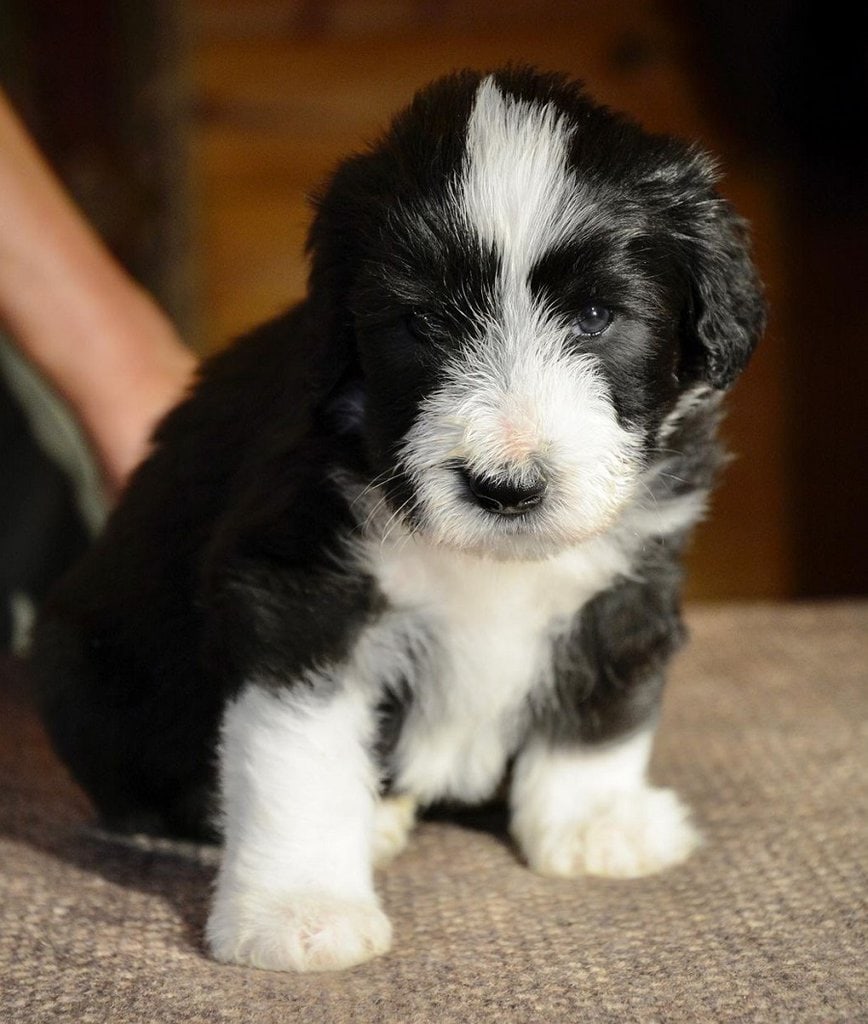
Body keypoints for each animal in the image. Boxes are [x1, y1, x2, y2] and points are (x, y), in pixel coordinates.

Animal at [30, 68, 761, 970]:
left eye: (597, 315)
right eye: (422, 322)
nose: (504, 487)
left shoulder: (625, 581)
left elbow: (603, 701)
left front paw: (593, 823)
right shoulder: (300, 592)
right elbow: (301, 756)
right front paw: (301, 909)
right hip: (81, 663)